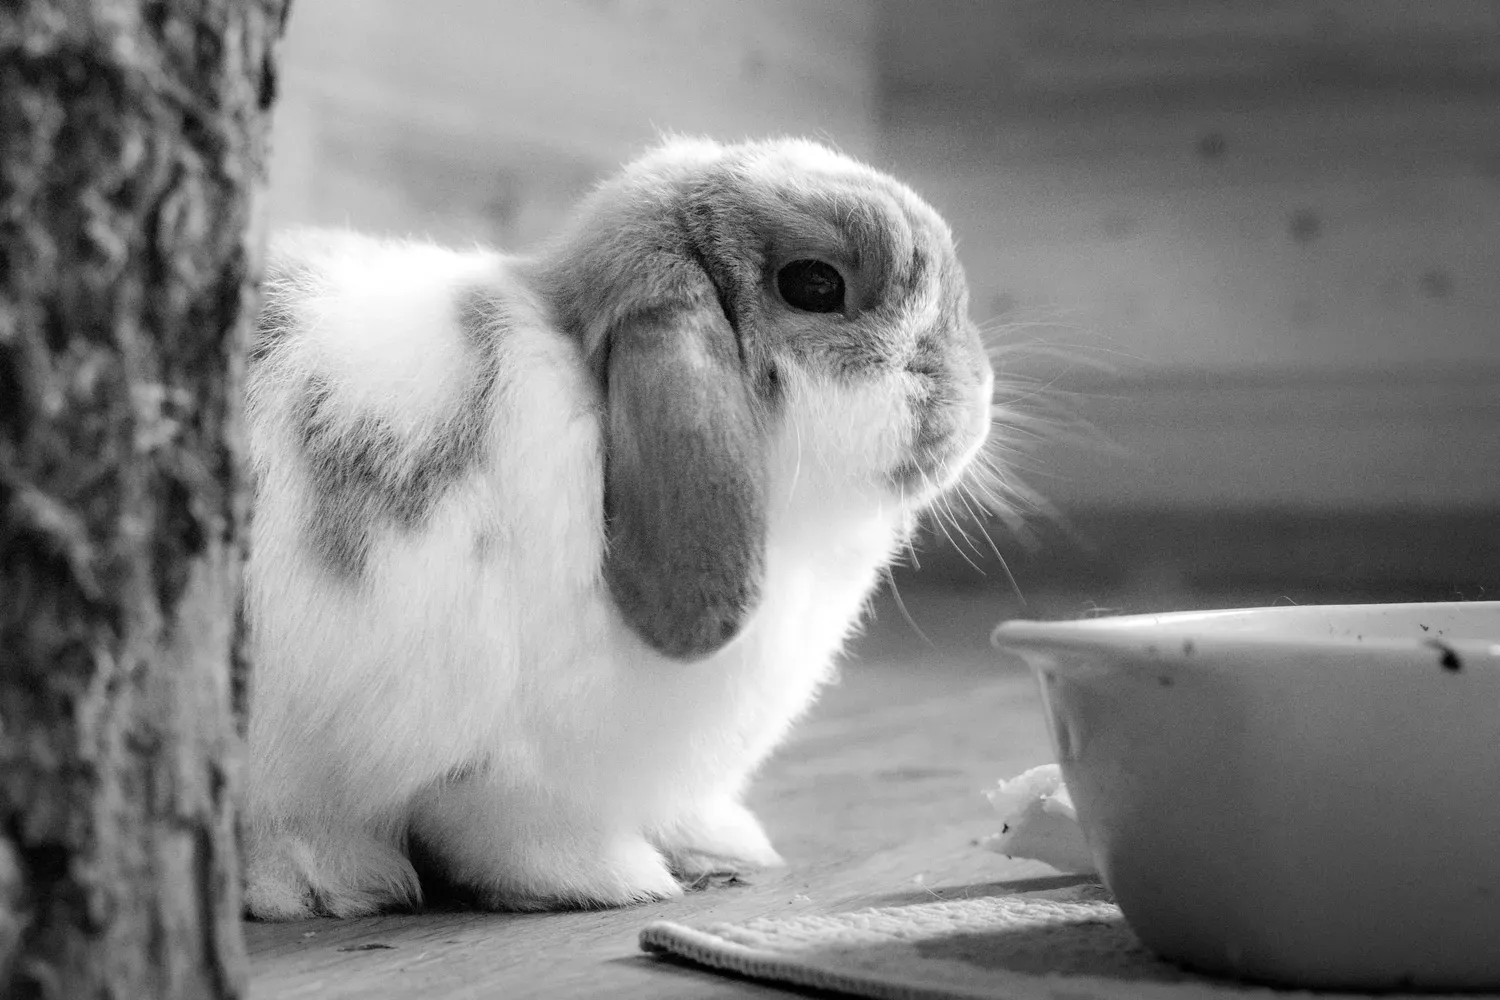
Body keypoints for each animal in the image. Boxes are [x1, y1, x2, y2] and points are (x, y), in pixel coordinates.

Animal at [242, 136, 997, 919]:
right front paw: (616, 878)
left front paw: (727, 848)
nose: (977, 390)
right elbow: (519, 833)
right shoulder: (512, 767)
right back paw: (324, 875)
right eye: (816, 284)